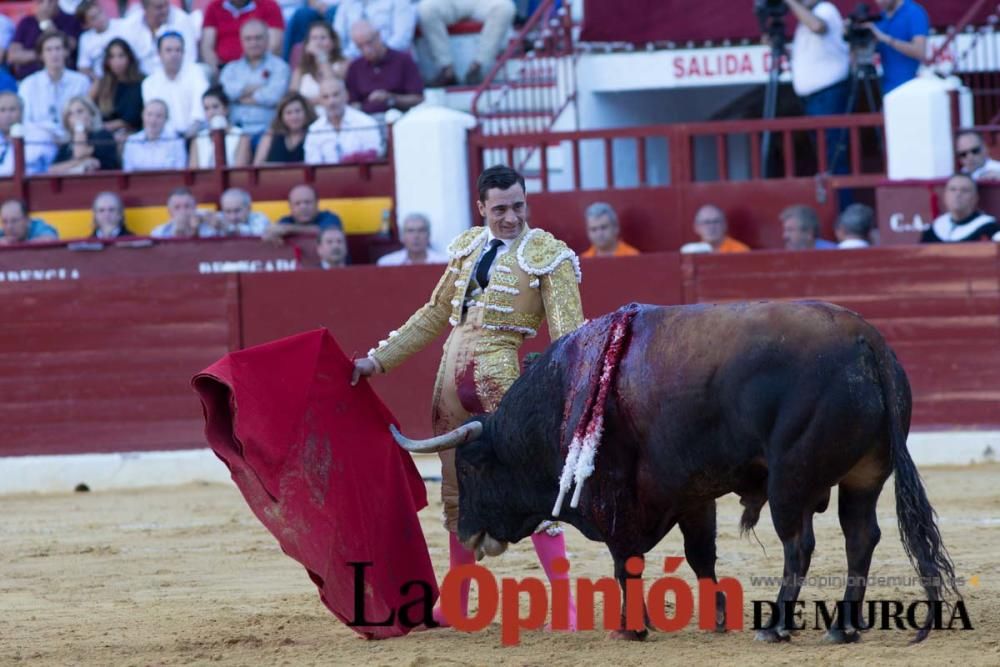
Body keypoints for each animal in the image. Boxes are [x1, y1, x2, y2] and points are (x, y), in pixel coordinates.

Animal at [386, 302, 956, 640]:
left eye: (472, 467)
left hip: (791, 480)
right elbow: (701, 556)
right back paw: (845, 625)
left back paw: (777, 625)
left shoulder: (613, 495)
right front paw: (717, 617)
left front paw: (630, 628)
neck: (561, 400)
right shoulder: (693, 494)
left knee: (801, 544)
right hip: (864, 476)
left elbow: (626, 563)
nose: (467, 533)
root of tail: (867, 342)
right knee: (861, 535)